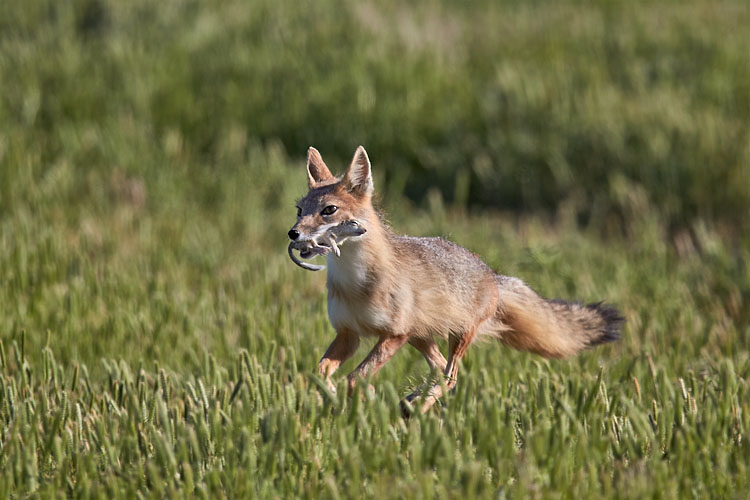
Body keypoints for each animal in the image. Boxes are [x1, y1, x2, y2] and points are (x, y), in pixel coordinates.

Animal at [288, 146, 624, 414]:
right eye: (300, 210)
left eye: (329, 210)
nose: (293, 234)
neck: (355, 284)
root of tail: (492, 273)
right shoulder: (349, 334)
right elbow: (320, 371)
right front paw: (332, 395)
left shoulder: (394, 335)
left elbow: (355, 377)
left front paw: (356, 396)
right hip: (421, 337)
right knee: (440, 369)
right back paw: (412, 401)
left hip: (453, 336)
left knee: (451, 376)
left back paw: (416, 407)